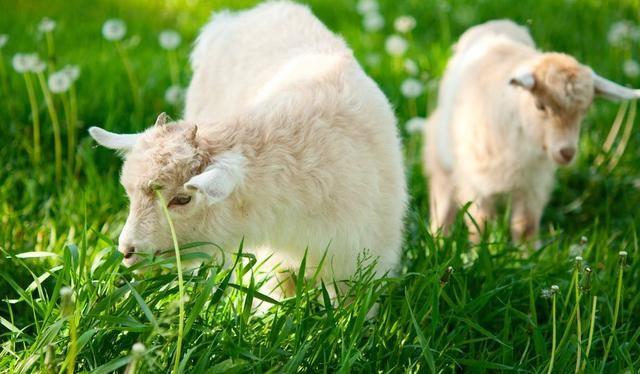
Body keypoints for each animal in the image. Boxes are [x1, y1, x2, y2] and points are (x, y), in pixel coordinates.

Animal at [424, 19, 640, 243]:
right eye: (540, 105)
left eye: (584, 111)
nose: (567, 152)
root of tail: (498, 22)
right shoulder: (475, 184)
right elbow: (481, 226)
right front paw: (481, 250)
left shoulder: (533, 186)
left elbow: (525, 226)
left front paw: (525, 252)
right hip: (440, 158)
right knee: (442, 204)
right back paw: (438, 240)